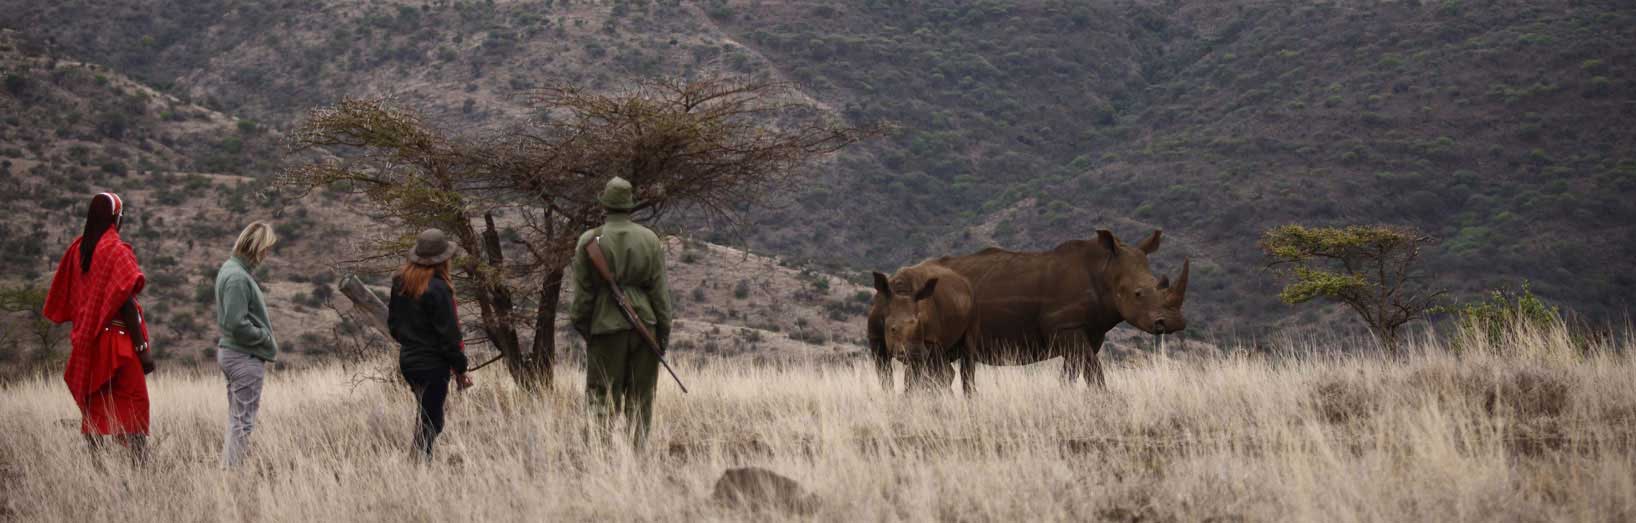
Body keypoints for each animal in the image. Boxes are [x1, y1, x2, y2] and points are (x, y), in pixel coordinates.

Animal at [870, 228, 1191, 388]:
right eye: (1138, 294)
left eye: (1160, 283)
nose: (1173, 323)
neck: (1104, 270)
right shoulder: (1067, 327)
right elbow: (1094, 372)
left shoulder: (1085, 332)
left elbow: (1073, 373)